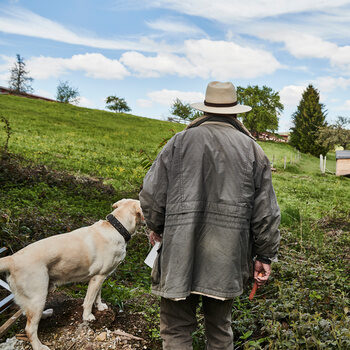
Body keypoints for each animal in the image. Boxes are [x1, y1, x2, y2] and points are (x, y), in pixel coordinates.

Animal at [0, 198, 144, 348]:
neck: (116, 228)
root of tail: (12, 258)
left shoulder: (101, 276)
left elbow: (98, 295)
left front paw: (100, 306)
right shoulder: (97, 278)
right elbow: (89, 300)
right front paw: (88, 316)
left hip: (36, 296)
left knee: (27, 314)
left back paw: (45, 314)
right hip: (38, 295)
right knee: (29, 328)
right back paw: (39, 346)